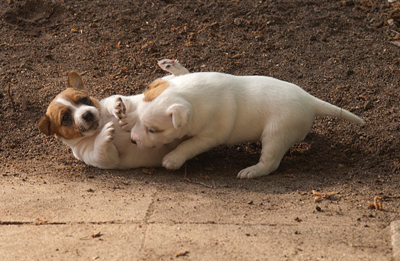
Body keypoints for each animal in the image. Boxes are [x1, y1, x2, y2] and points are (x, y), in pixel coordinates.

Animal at [131, 66, 366, 178]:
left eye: (153, 130)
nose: (132, 140)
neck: (193, 96)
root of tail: (310, 100)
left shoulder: (209, 136)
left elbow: (188, 145)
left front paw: (173, 158)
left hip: (276, 135)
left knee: (270, 163)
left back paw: (252, 171)